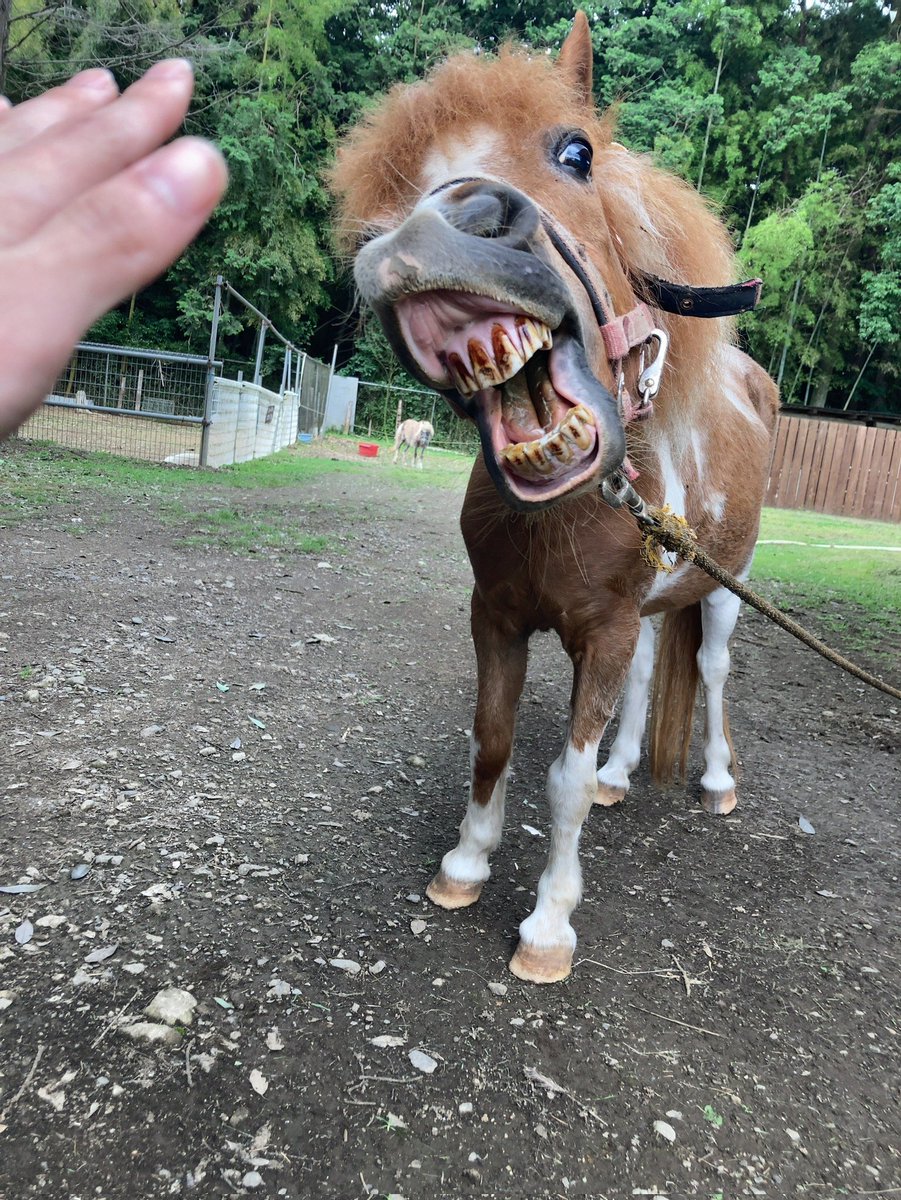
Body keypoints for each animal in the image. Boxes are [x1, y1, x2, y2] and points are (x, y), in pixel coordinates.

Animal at [332, 12, 778, 984]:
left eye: (575, 152)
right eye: (401, 191)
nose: (430, 233)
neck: (566, 509)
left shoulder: (601, 628)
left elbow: (560, 779)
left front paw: (547, 927)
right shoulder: (497, 614)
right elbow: (492, 739)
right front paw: (464, 866)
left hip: (726, 586)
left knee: (712, 671)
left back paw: (717, 783)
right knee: (651, 674)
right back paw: (621, 775)